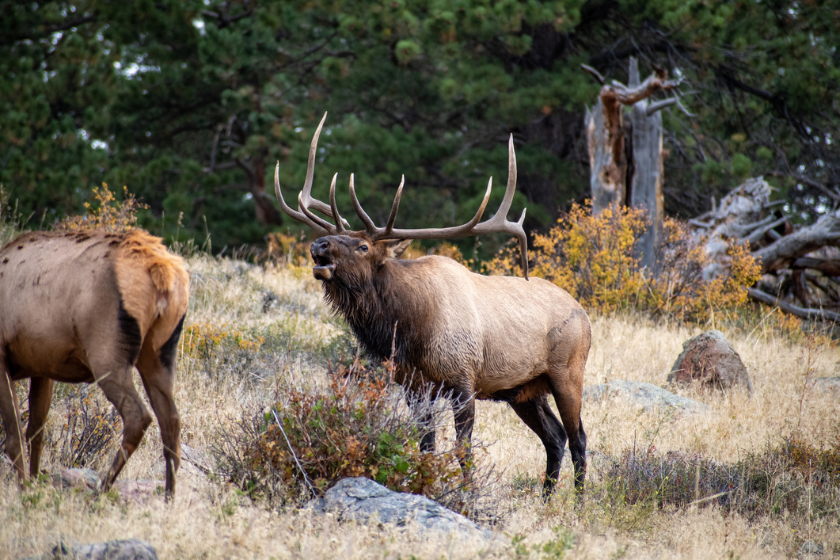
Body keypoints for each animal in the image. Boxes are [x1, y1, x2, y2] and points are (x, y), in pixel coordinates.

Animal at [0, 229, 189, 498]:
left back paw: (102, 490)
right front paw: (34, 485)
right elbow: (35, 431)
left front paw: (24, 491)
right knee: (171, 422)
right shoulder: (43, 366)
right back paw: (169, 498)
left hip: (106, 354)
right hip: (160, 354)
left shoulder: (2, 355)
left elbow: (14, 436)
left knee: (139, 416)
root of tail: (163, 273)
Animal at [276, 114, 592, 494]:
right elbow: (425, 446)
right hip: (524, 390)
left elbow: (462, 450)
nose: (319, 245)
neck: (411, 329)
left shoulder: (463, 379)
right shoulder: (413, 385)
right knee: (554, 437)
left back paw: (577, 500)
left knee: (578, 438)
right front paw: (424, 486)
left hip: (568, 371)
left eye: (363, 246)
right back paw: (545, 499)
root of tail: (587, 316)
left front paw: (467, 495)